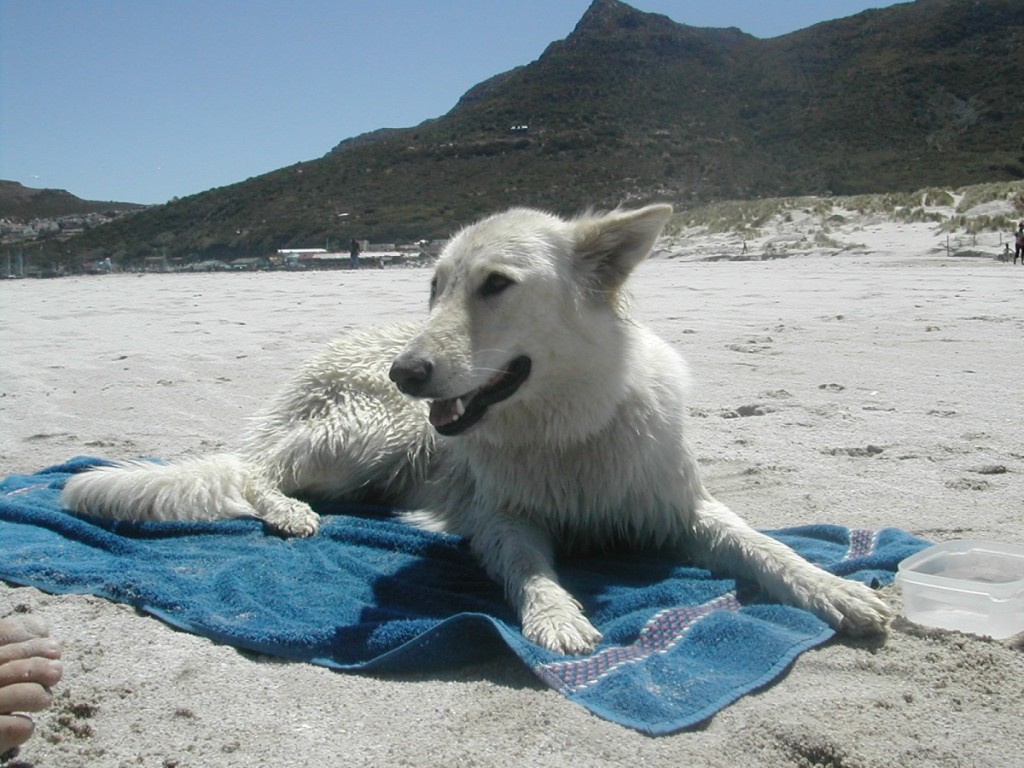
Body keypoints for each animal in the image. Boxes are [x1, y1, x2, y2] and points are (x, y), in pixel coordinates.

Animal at [61, 204, 888, 655]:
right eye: (434, 287)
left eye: (496, 285)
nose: (404, 371)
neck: (565, 429)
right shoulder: (506, 519)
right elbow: (529, 568)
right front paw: (557, 618)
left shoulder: (679, 507)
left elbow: (765, 546)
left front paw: (833, 589)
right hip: (370, 431)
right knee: (257, 473)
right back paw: (295, 510)